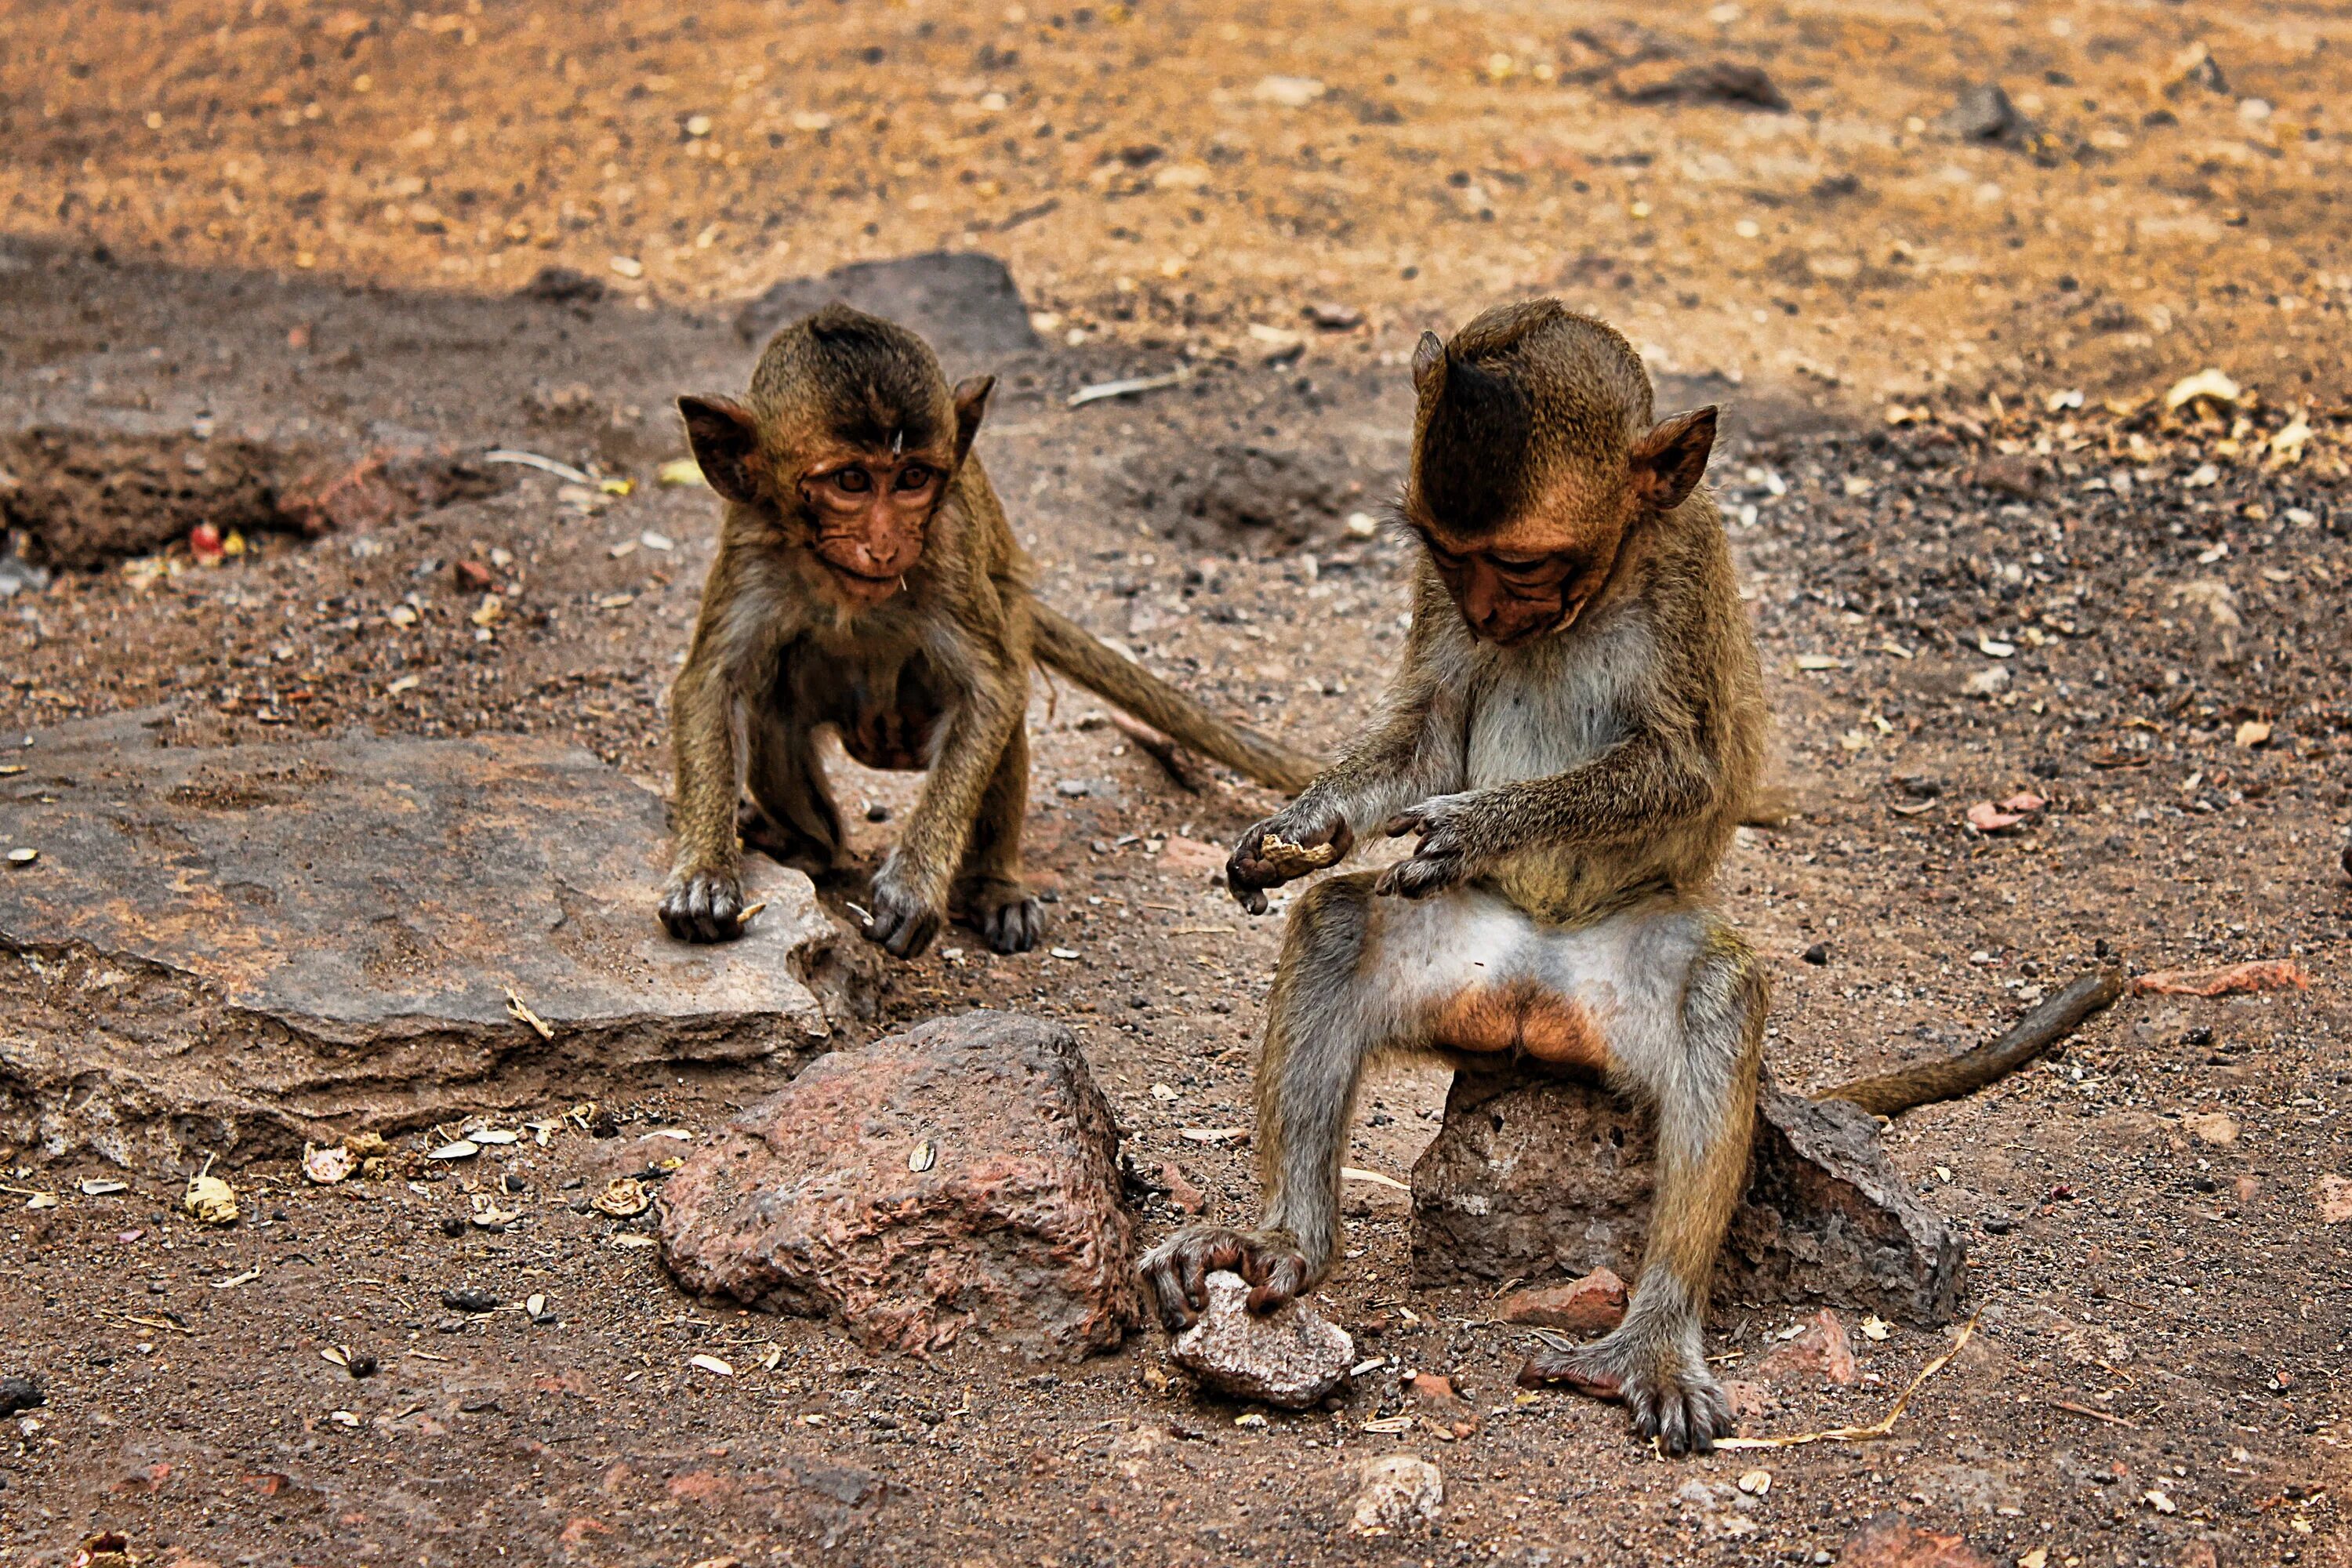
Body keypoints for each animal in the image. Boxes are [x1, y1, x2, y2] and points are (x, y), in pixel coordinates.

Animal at [663, 300, 1327, 949]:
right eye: (851, 481)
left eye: (912, 479)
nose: (886, 545)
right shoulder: (752, 537)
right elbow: (712, 684)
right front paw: (704, 873)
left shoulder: (947, 540)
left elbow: (990, 690)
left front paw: (913, 885)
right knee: (772, 703)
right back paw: (808, 845)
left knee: (999, 713)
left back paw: (992, 887)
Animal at [1138, 303, 1769, 1457]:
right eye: (1444, 550)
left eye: (1524, 565)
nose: (1486, 613)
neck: (1597, 591)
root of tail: (1536, 994)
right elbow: (1428, 736)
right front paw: (1298, 830)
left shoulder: (1687, 569)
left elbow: (1685, 772)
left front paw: (1480, 824)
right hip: (1461, 964)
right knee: (1339, 929)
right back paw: (1283, 1242)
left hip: (1618, 972)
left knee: (1717, 992)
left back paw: (1654, 1336)